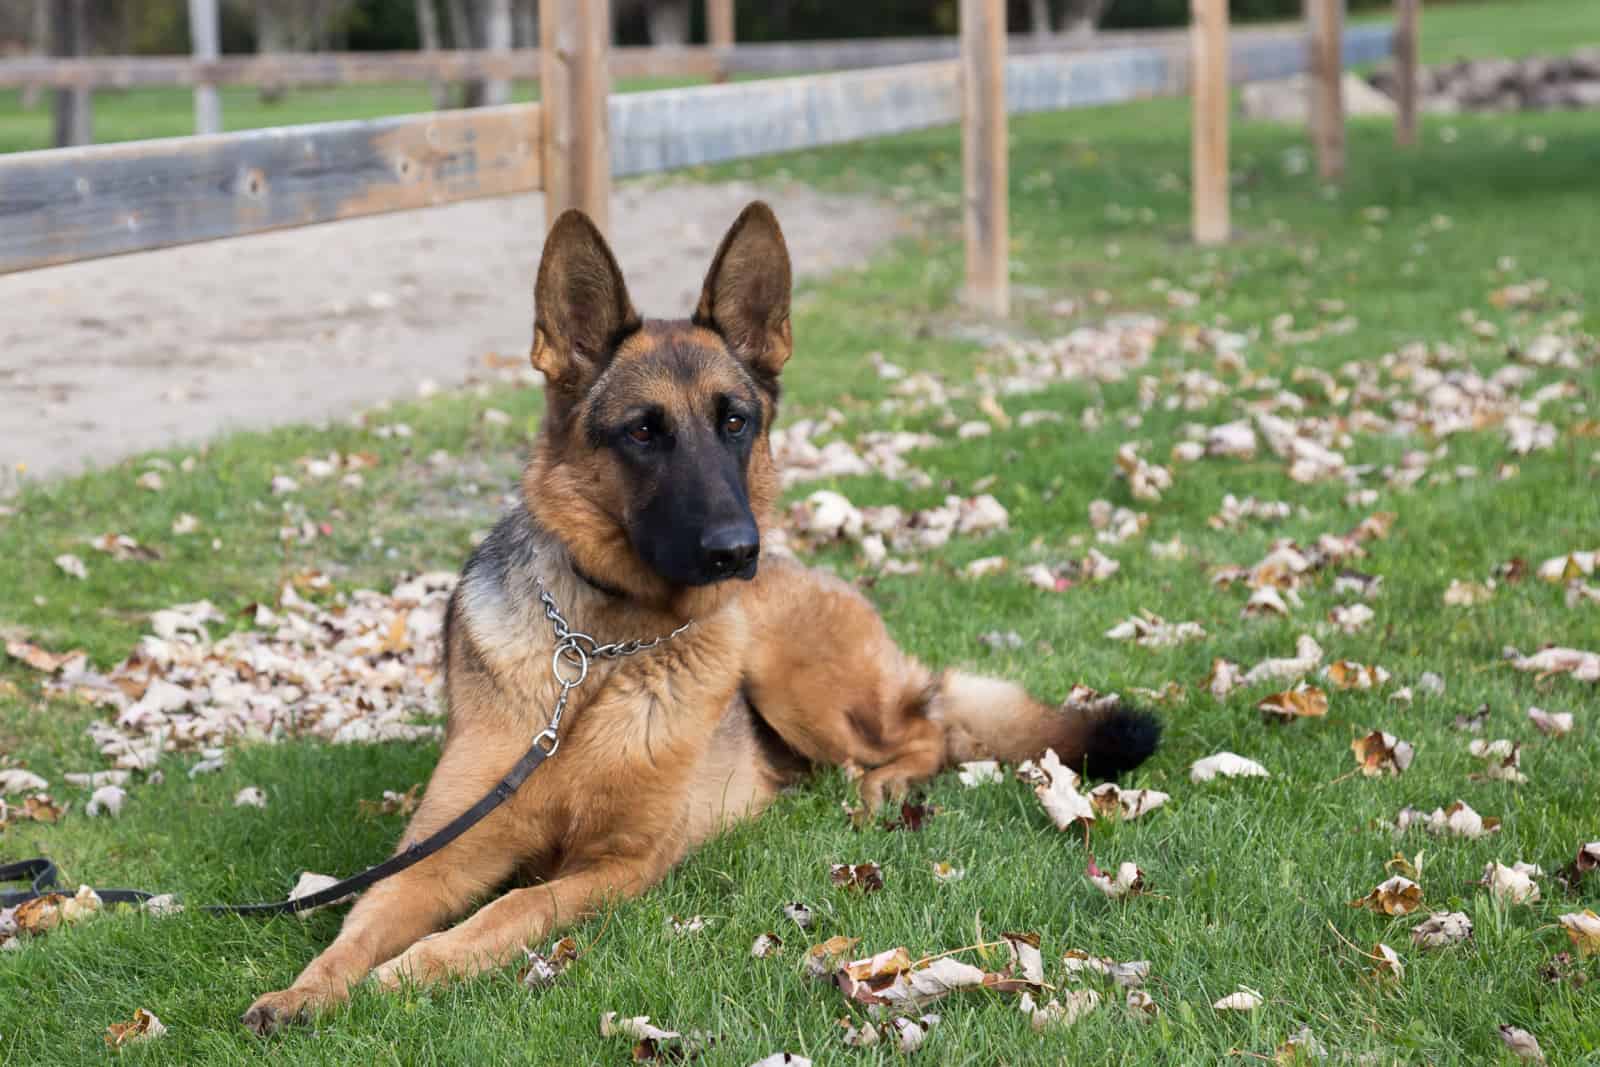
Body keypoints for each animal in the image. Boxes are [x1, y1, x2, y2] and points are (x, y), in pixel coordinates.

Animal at [236, 202, 1158, 1036]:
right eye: (644, 433)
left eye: (735, 422)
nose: (734, 550)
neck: (599, 652)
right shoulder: (445, 849)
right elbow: (365, 917)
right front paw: (310, 989)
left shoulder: (618, 865)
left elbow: (512, 910)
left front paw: (412, 971)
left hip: (797, 684)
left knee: (926, 730)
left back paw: (878, 787)